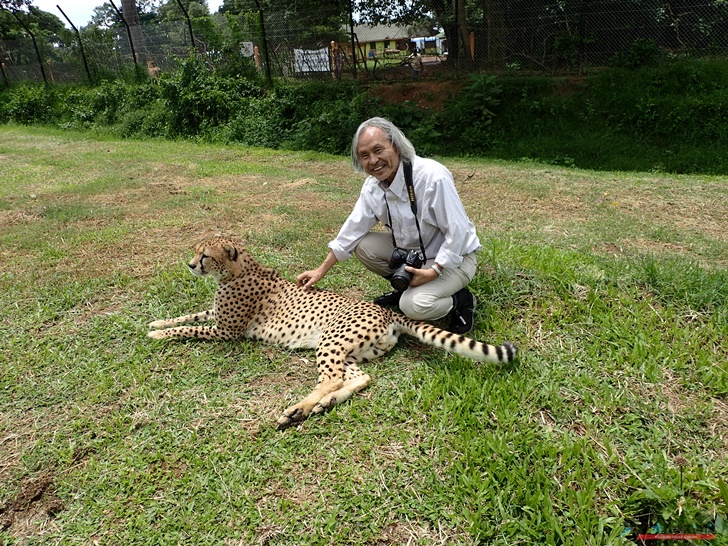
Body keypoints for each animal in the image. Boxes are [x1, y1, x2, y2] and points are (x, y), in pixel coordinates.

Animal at [148, 236, 516, 428]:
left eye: (205, 255)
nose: (190, 265)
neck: (237, 270)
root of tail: (386, 310)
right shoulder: (217, 317)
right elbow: (190, 314)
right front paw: (156, 324)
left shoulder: (227, 331)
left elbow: (192, 327)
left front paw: (158, 335)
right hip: (348, 351)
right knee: (359, 378)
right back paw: (322, 406)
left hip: (330, 341)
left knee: (331, 378)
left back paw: (296, 410)